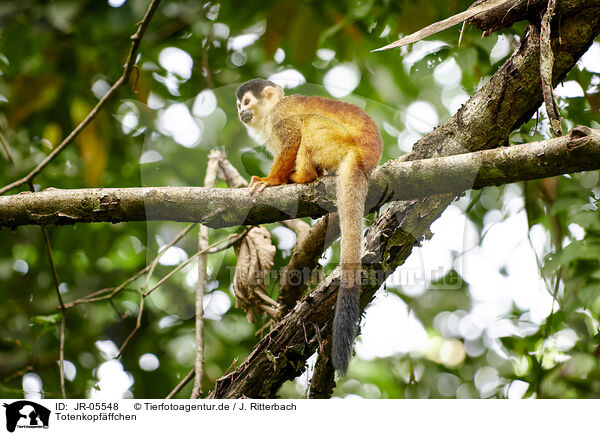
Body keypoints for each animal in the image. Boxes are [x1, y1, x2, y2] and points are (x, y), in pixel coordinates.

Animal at [236, 79, 382, 374]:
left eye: (246, 102)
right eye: (238, 105)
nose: (240, 112)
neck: (268, 114)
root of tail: (366, 156)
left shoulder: (281, 116)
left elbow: (293, 138)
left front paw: (272, 180)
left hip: (338, 144)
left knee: (309, 123)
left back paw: (302, 176)